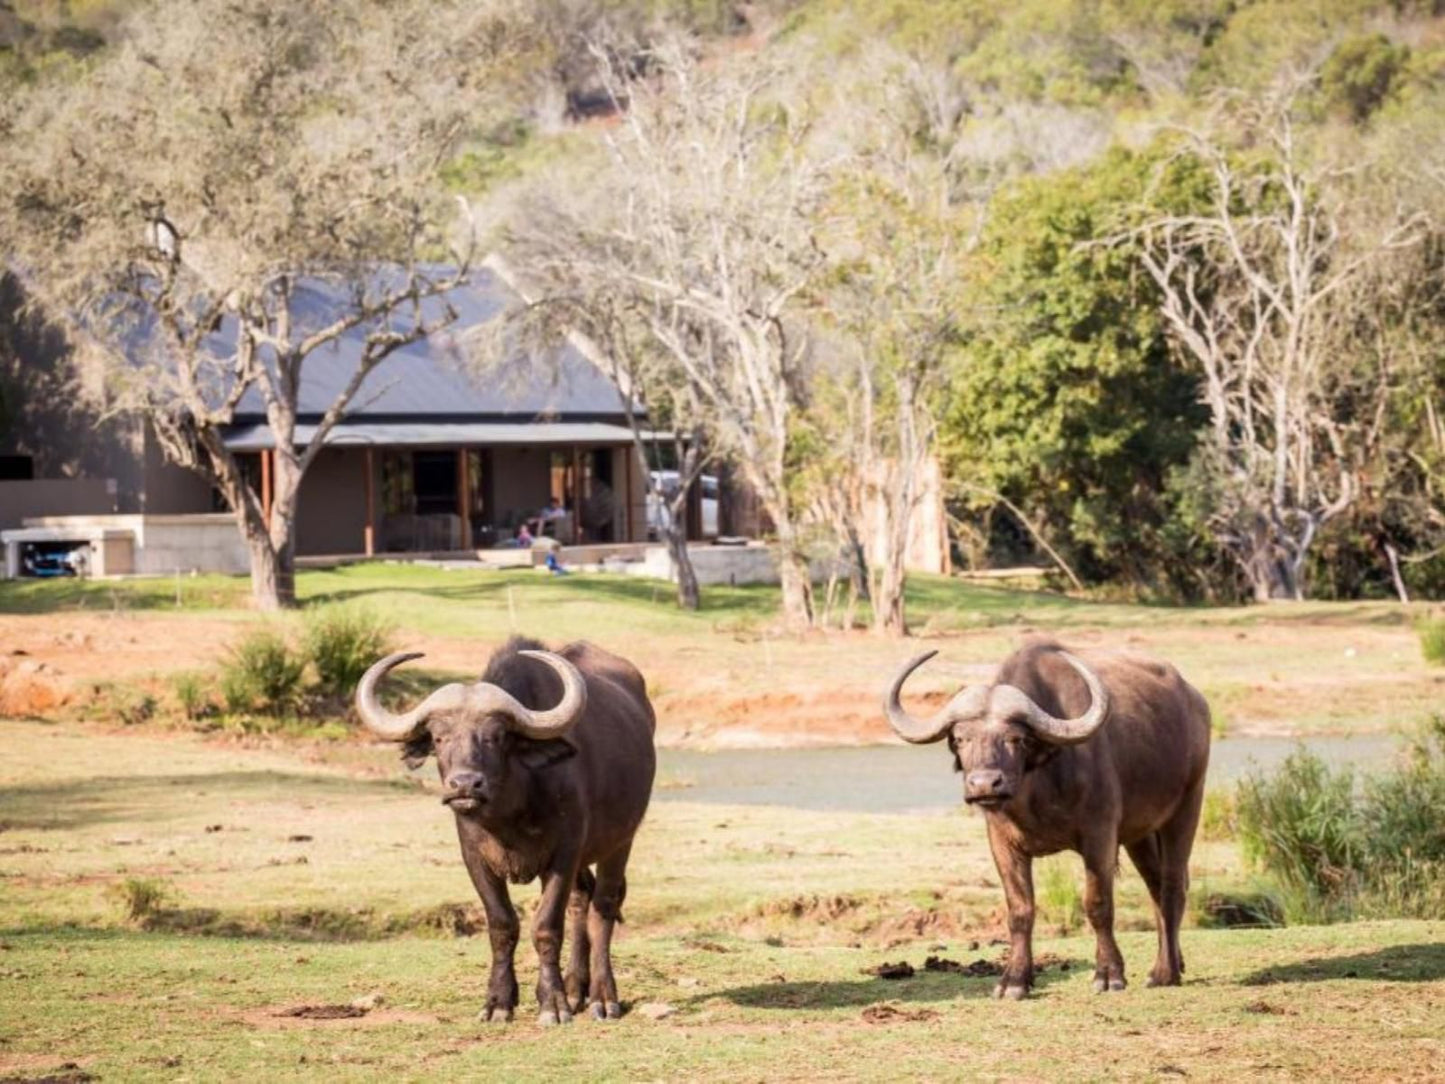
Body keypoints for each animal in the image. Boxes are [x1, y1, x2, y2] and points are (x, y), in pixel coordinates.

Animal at [358, 641, 658, 1029]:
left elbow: (546, 926)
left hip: (620, 842)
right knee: (581, 900)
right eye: (439, 737)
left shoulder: (563, 854)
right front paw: (499, 1001)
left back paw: (602, 998)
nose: (465, 784)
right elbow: (502, 925)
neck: (511, 812)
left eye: (496, 736)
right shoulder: (475, 858)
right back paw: (576, 987)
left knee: (603, 906)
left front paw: (553, 1004)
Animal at [878, 641, 1208, 1005]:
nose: (984, 784)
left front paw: (1109, 974)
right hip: (1140, 833)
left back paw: (1164, 973)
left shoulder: (1100, 834)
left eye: (1016, 739)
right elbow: (1020, 910)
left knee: (1173, 885)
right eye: (961, 738)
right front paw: (1015, 980)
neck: (1037, 787)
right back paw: (1174, 963)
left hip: (1187, 805)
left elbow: (1098, 904)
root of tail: (1194, 701)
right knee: (1155, 885)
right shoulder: (1003, 843)